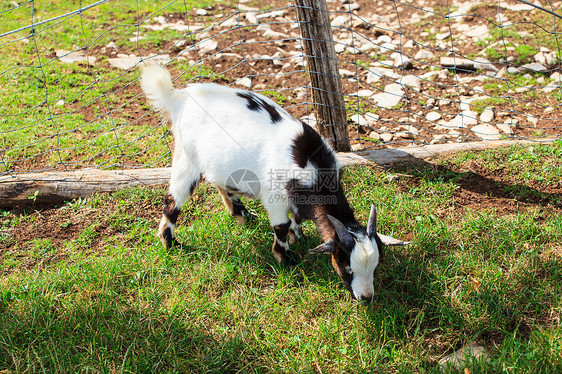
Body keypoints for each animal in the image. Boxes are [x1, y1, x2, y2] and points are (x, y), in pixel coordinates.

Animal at [140, 64, 400, 304]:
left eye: (376, 266)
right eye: (346, 266)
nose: (366, 297)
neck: (314, 168)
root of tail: (178, 98)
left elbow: (296, 219)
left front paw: (298, 234)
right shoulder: (275, 196)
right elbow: (281, 226)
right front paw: (286, 258)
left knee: (221, 184)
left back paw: (241, 214)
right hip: (186, 158)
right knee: (173, 200)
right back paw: (170, 242)